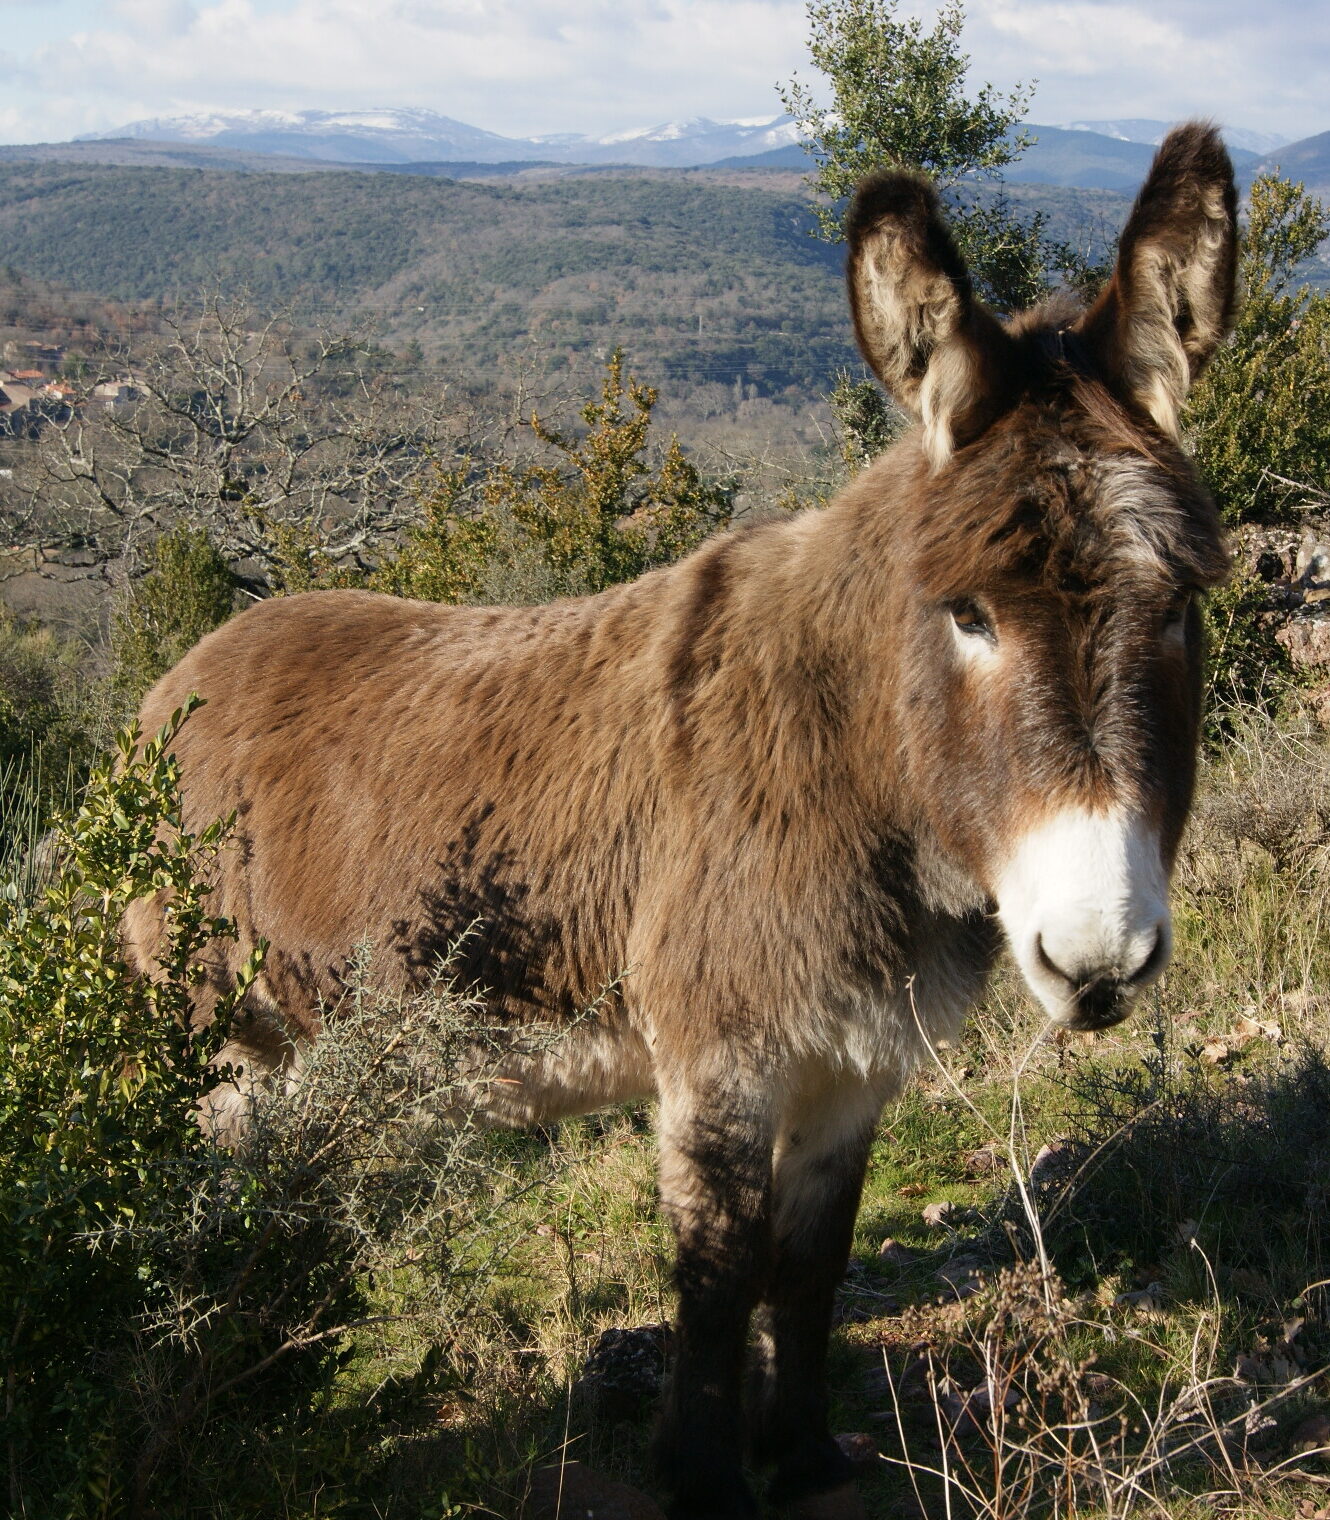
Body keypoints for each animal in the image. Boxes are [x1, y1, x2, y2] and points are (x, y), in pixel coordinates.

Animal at [125, 122, 1237, 1519]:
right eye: (969, 613)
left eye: (1180, 604)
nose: (1097, 961)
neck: (849, 762)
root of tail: (177, 681)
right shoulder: (718, 1057)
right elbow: (715, 1275)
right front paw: (703, 1476)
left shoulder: (853, 1066)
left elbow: (807, 1267)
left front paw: (799, 1453)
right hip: (204, 1039)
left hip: (282, 1053)